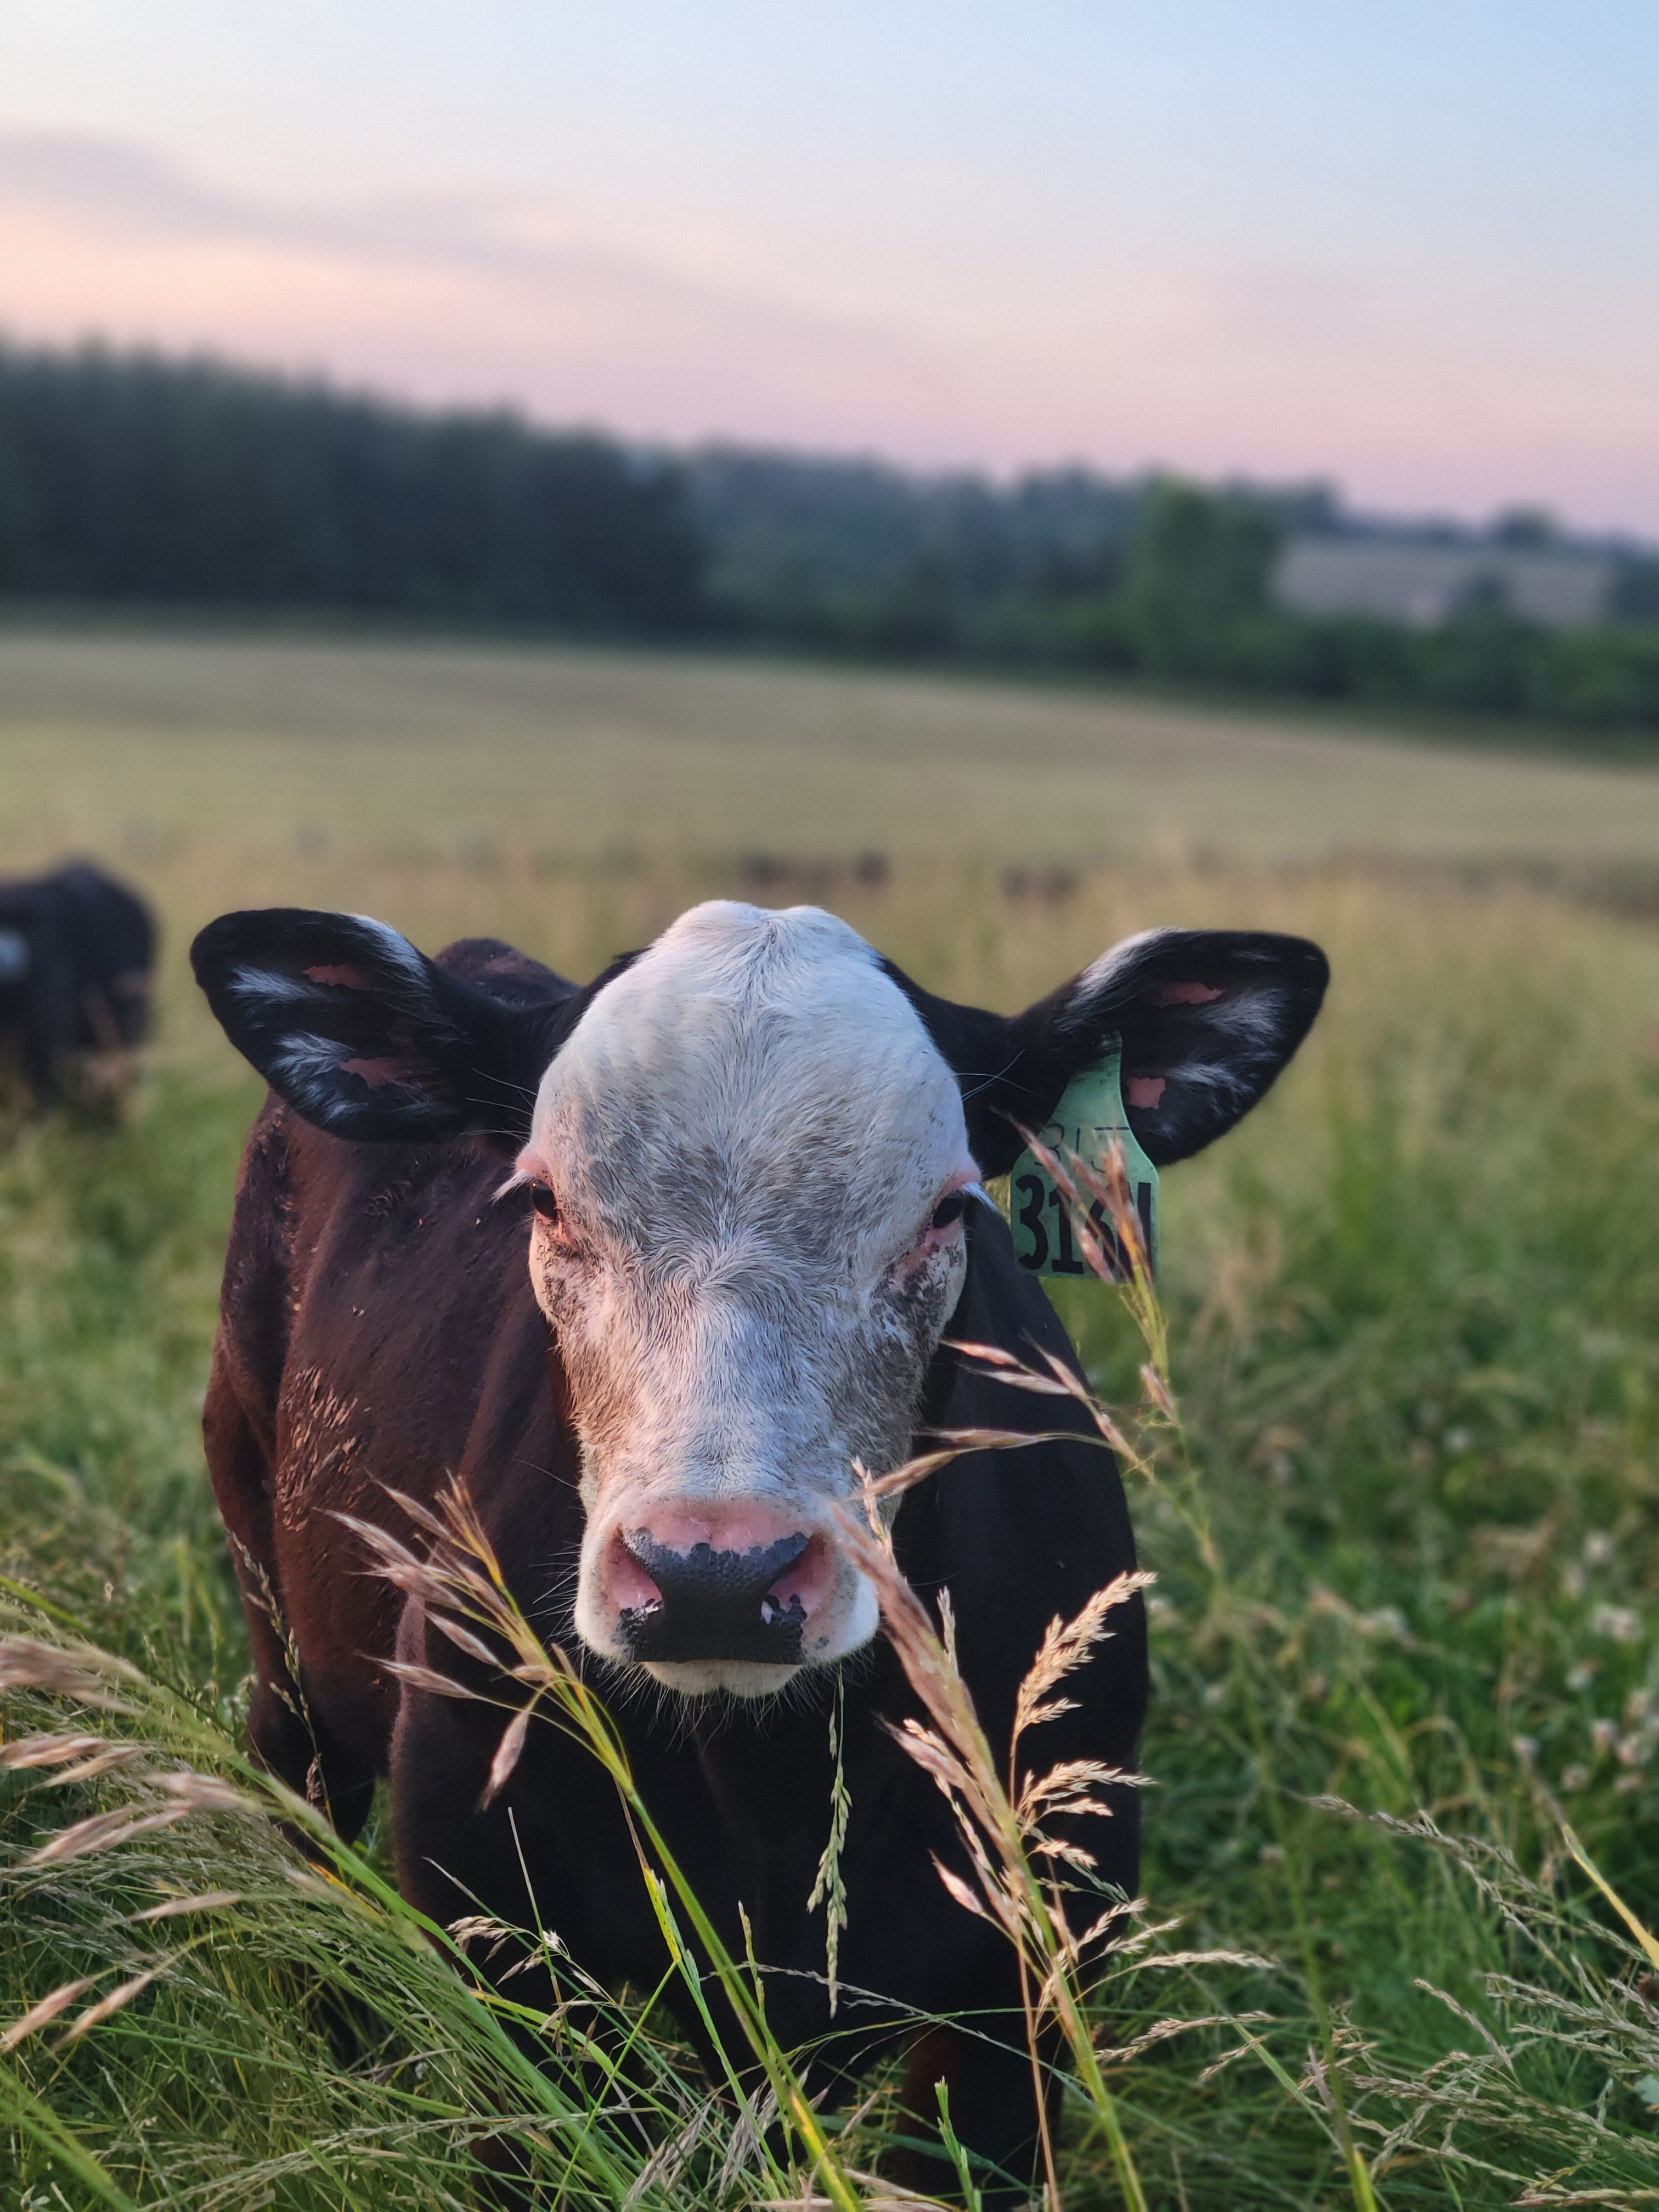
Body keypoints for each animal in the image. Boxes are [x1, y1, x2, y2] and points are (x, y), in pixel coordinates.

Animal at [191, 898, 1327, 2203]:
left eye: (950, 1210)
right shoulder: (482, 1895)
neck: (768, 1792)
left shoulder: (1040, 1949)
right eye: (542, 1200)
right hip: (272, 1596)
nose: (714, 1577)